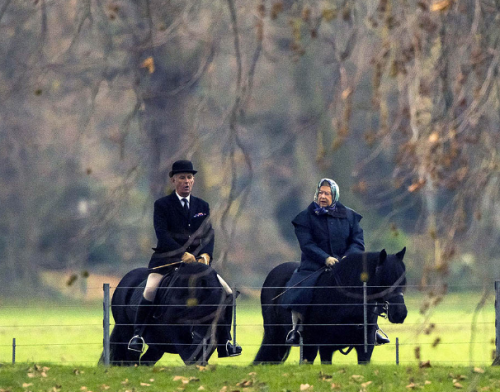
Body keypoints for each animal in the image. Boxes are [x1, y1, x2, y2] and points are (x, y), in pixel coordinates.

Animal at [254, 248, 406, 364]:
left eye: (403, 280)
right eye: (384, 278)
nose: (400, 314)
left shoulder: (365, 347)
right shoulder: (326, 346)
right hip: (276, 335)